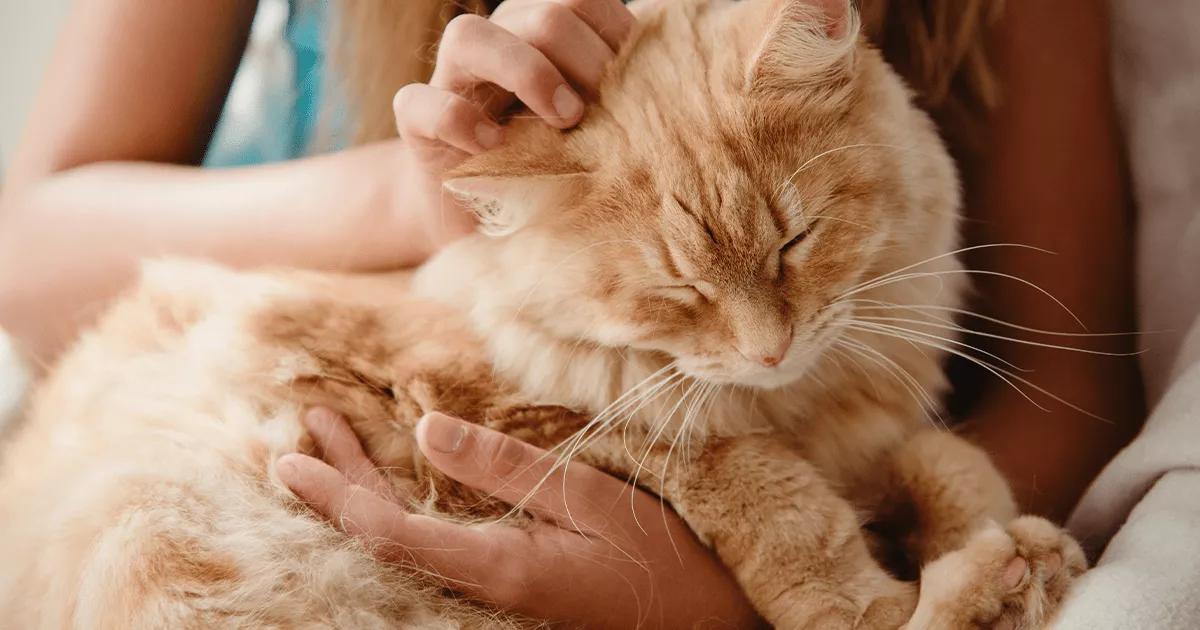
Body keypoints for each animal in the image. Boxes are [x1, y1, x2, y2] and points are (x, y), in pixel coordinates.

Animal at [0, 0, 1089, 624]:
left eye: (794, 243)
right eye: (680, 291)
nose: (770, 349)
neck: (802, 404)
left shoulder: (871, 435)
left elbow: (945, 461)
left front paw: (1012, 540)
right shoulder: (530, 417)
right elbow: (789, 515)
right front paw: (939, 580)